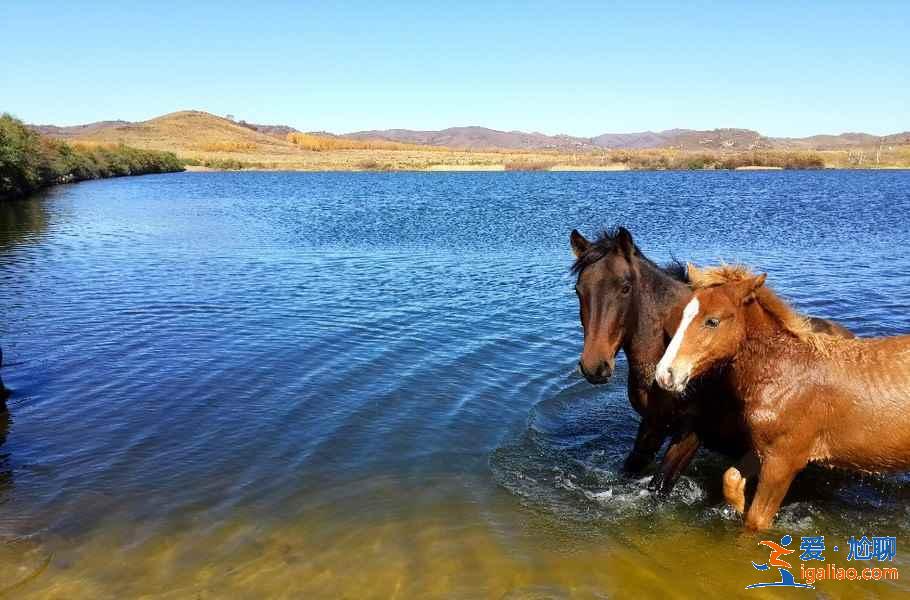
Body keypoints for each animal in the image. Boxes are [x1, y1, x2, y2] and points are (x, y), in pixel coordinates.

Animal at [568, 227, 856, 494]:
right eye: (579, 290)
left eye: (625, 288)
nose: (594, 366)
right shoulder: (653, 424)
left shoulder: (691, 433)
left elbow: (659, 485)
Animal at [660, 266, 908, 528]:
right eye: (680, 315)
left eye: (712, 321)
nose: (665, 374)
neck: (786, 372)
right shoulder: (766, 449)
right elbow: (732, 479)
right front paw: (734, 509)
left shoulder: (784, 460)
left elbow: (756, 520)